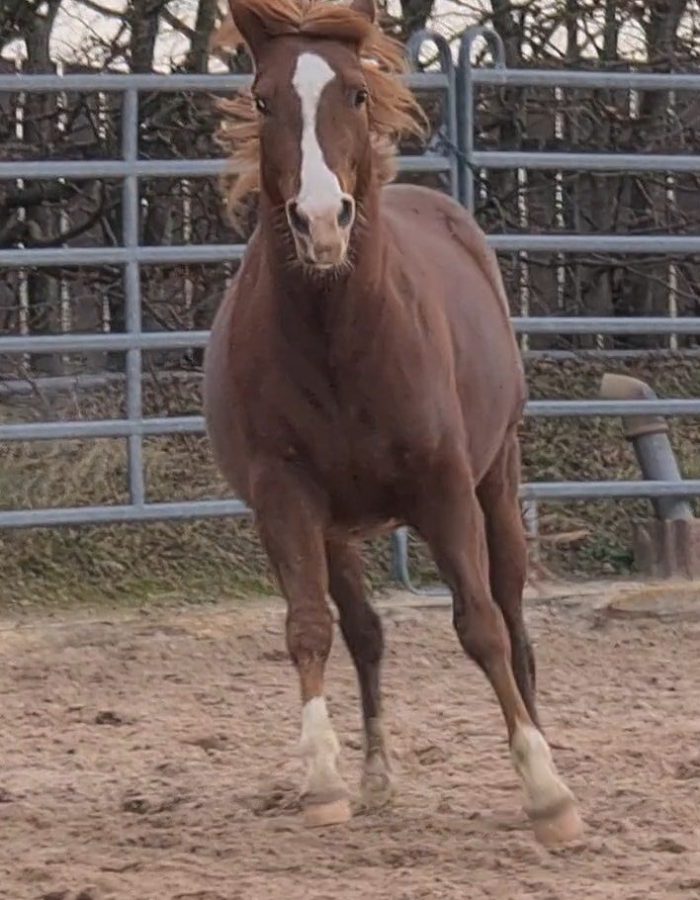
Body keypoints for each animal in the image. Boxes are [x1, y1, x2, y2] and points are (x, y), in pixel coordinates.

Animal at [204, 0, 583, 846]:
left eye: (353, 93)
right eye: (263, 99)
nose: (320, 221)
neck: (337, 332)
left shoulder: (443, 490)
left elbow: (481, 626)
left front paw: (547, 794)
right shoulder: (286, 499)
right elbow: (310, 627)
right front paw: (324, 782)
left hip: (497, 481)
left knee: (513, 616)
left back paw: (544, 747)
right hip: (341, 528)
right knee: (363, 630)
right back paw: (376, 777)